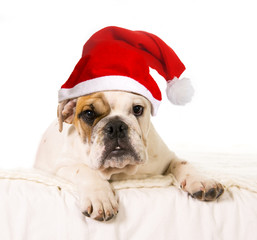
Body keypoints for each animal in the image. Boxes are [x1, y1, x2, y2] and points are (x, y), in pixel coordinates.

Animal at [34, 90, 224, 221]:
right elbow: (86, 171)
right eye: (89, 114)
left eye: (138, 109)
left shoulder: (168, 159)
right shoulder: (61, 167)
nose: (116, 126)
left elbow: (183, 163)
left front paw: (201, 180)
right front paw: (100, 198)